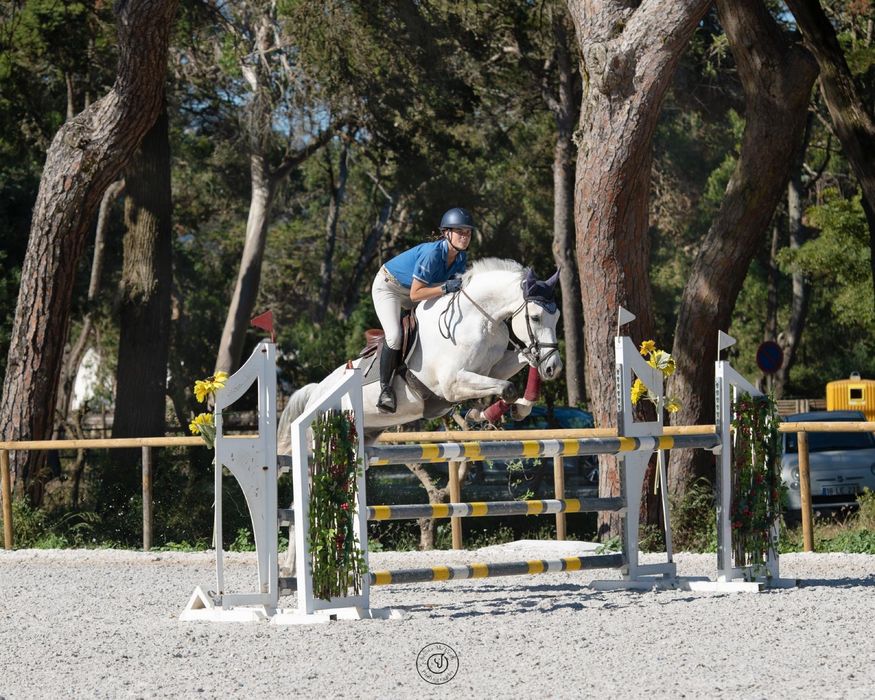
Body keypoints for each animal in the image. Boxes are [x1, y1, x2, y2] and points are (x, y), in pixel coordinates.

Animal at [277, 258, 564, 454]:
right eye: (535, 317)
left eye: (557, 316)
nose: (554, 368)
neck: (480, 318)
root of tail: (315, 393)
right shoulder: (452, 384)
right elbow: (507, 388)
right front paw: (483, 414)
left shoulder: (492, 369)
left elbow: (519, 368)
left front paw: (516, 408)